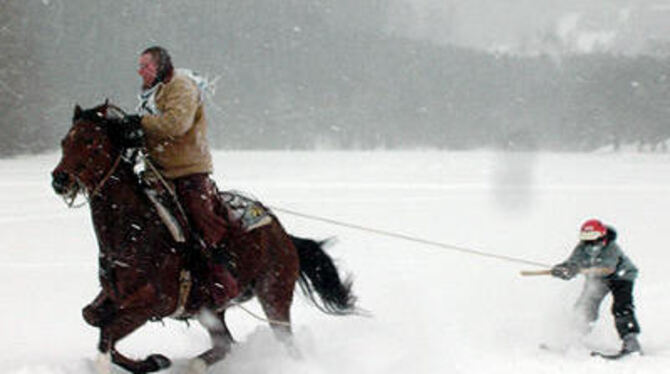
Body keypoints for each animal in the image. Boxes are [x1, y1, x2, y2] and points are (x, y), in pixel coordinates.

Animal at [50, 102, 360, 374]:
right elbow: (92, 318)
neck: (132, 233)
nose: (59, 179)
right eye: (64, 141)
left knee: (283, 343)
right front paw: (155, 361)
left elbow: (106, 335)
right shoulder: (114, 299)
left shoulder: (152, 304)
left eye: (91, 141)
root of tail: (284, 235)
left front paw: (149, 361)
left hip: (274, 296)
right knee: (225, 344)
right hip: (210, 309)